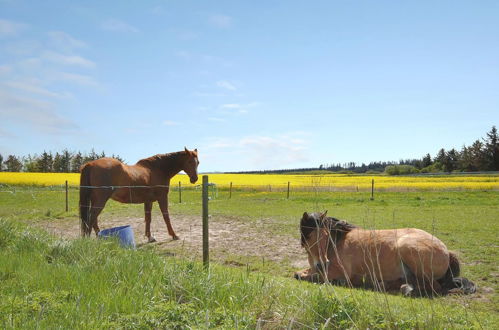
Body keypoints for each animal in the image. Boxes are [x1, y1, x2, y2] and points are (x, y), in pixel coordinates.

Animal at [294, 211, 478, 296]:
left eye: (326, 236)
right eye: (310, 236)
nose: (323, 263)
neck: (337, 243)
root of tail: (447, 251)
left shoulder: (336, 273)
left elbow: (311, 277)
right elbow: (298, 273)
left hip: (407, 248)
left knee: (434, 287)